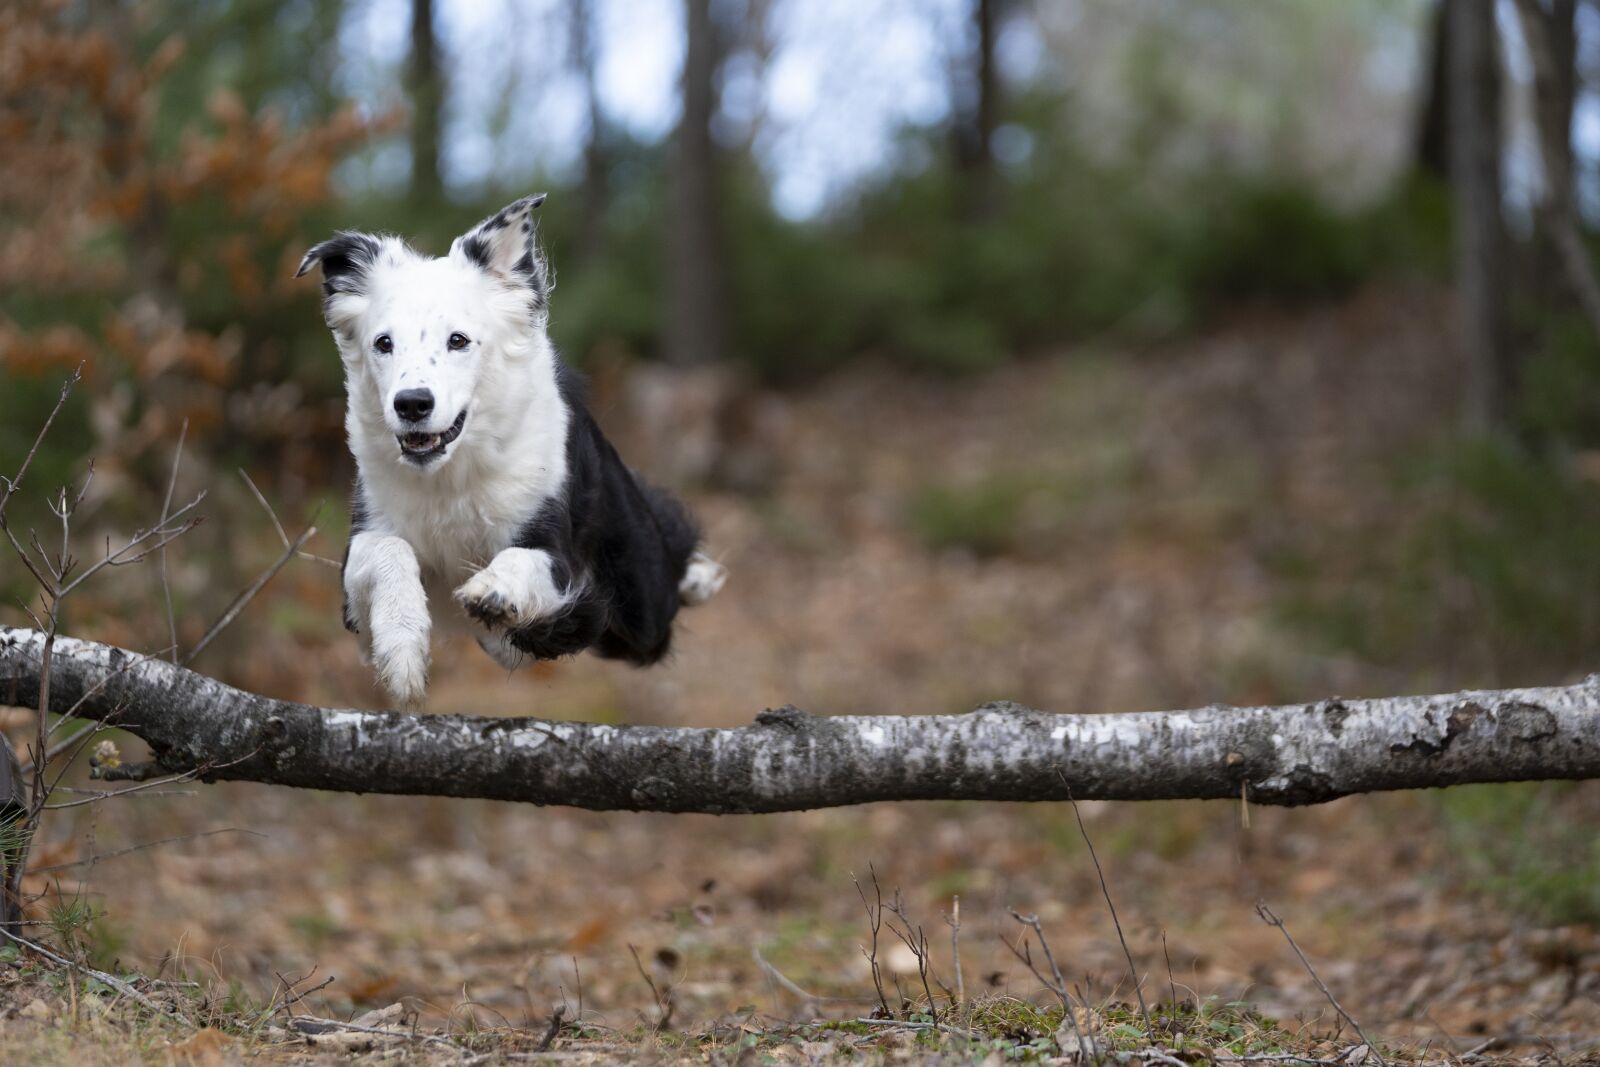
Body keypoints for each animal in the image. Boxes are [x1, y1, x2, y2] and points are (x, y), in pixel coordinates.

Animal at [297, 195, 729, 710]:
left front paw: (494, 591)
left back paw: (698, 577)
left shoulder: (559, 556)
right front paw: (401, 651)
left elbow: (523, 561)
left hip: (640, 594)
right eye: (383, 343)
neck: (451, 478)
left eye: (458, 340)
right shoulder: (360, 553)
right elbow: (389, 549)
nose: (412, 404)